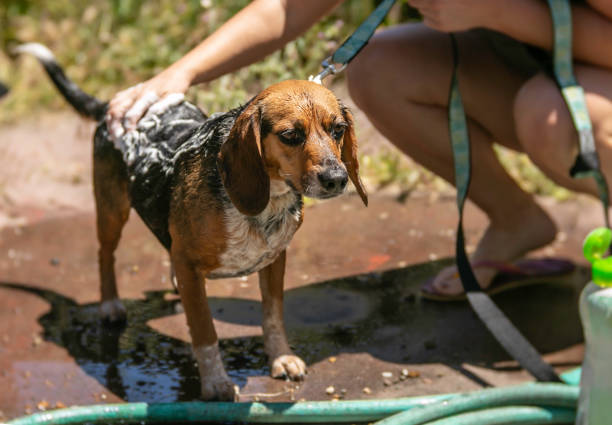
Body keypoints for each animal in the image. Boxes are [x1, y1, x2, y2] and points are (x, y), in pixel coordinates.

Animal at [15, 43, 368, 400]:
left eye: (338, 130)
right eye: (291, 135)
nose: (337, 179)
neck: (266, 203)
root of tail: (110, 107)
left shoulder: (274, 260)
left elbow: (273, 315)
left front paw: (280, 357)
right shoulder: (189, 267)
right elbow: (204, 331)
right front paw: (215, 383)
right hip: (112, 210)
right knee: (105, 255)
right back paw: (110, 305)